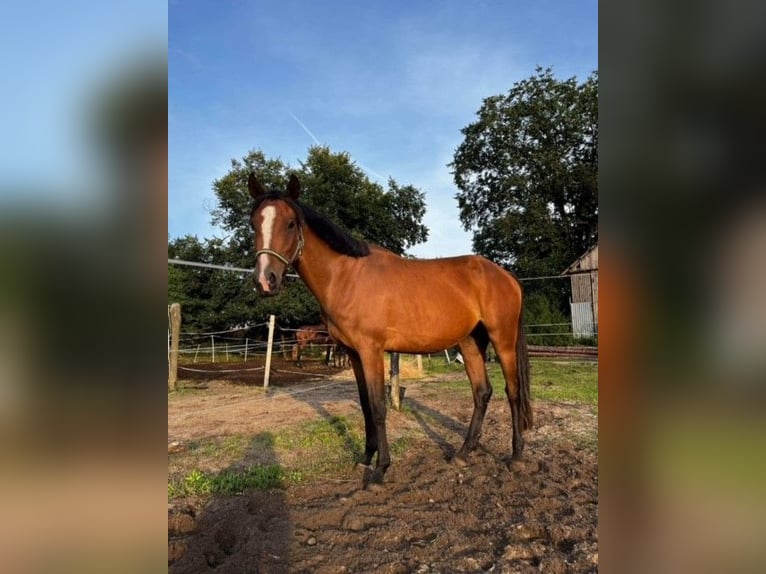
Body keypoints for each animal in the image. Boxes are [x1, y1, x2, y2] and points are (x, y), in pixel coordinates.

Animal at [249, 176, 532, 490]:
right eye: (253, 223)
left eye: (290, 223)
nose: (265, 280)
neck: (346, 276)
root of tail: (505, 275)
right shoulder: (353, 353)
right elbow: (364, 406)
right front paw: (365, 458)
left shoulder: (371, 350)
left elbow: (378, 407)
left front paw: (379, 471)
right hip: (470, 342)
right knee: (482, 393)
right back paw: (462, 454)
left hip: (502, 340)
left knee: (513, 392)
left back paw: (516, 457)